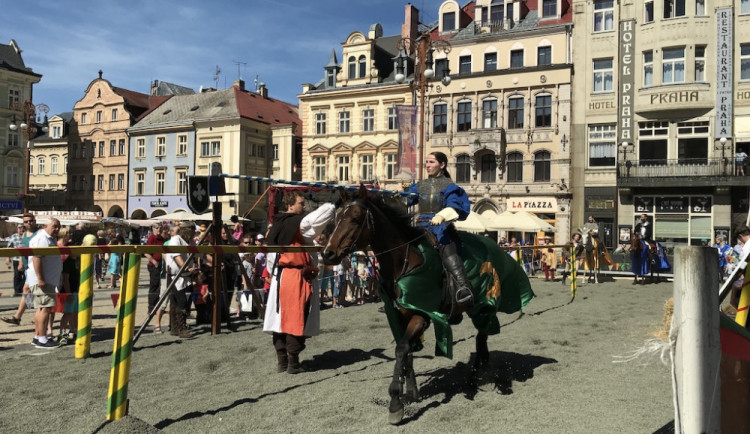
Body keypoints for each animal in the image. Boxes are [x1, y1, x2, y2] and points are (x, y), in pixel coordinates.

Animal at [324, 186, 536, 424]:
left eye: (355, 218)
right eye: (336, 218)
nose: (327, 253)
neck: (404, 262)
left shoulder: (422, 316)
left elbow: (401, 349)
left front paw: (396, 402)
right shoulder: (397, 316)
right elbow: (406, 351)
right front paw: (411, 392)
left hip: (485, 306)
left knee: (481, 339)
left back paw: (474, 379)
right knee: (482, 342)